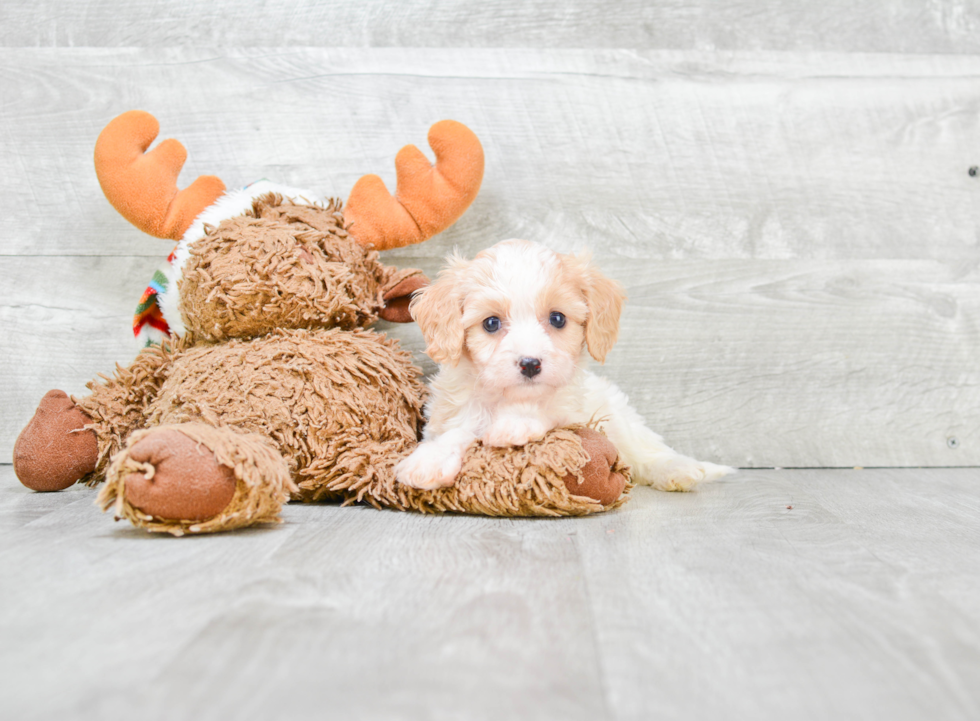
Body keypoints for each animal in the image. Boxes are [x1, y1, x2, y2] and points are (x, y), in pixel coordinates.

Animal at [394, 240, 732, 490]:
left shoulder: (577, 415)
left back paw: (678, 469)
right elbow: (458, 431)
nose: (530, 364)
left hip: (619, 415)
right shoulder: (450, 416)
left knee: (647, 450)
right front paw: (429, 460)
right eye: (491, 323)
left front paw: (517, 423)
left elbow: (548, 412)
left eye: (557, 319)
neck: (508, 398)